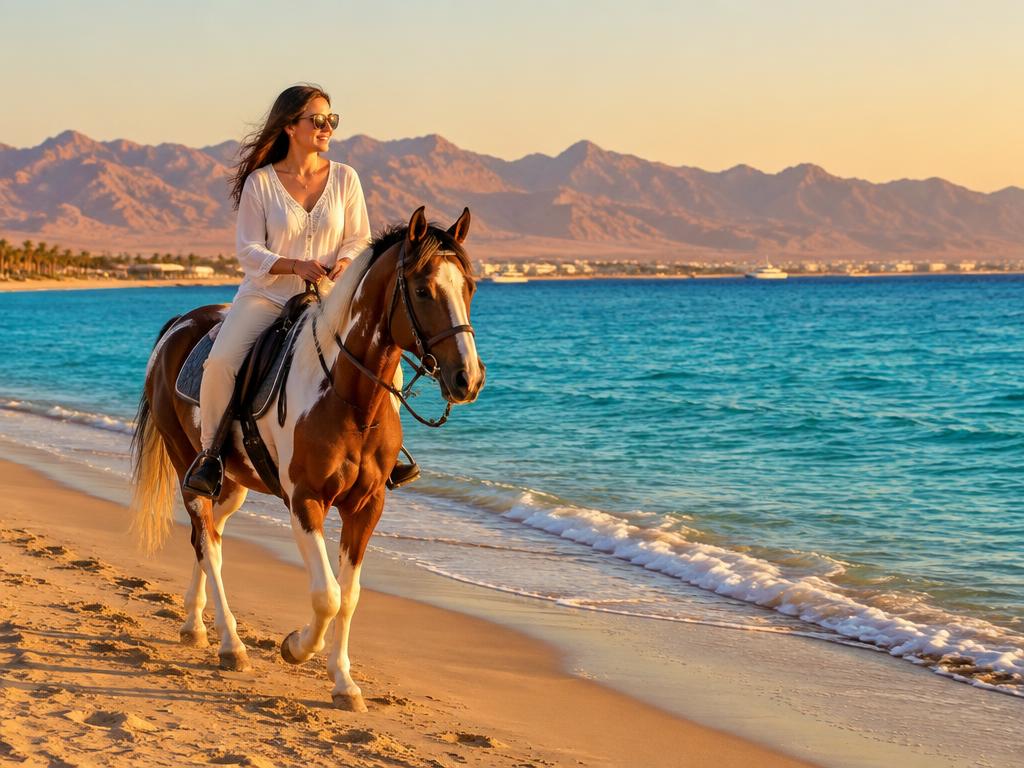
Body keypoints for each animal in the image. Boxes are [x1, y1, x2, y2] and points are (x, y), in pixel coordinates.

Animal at [129, 206, 485, 710]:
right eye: (422, 289)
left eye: (468, 287)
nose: (467, 379)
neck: (348, 396)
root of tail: (181, 323)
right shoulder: (305, 501)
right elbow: (326, 595)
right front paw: (296, 647)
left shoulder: (367, 506)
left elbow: (350, 595)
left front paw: (344, 683)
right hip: (188, 468)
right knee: (208, 544)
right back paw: (231, 645)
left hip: (232, 484)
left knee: (209, 535)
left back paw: (194, 624)